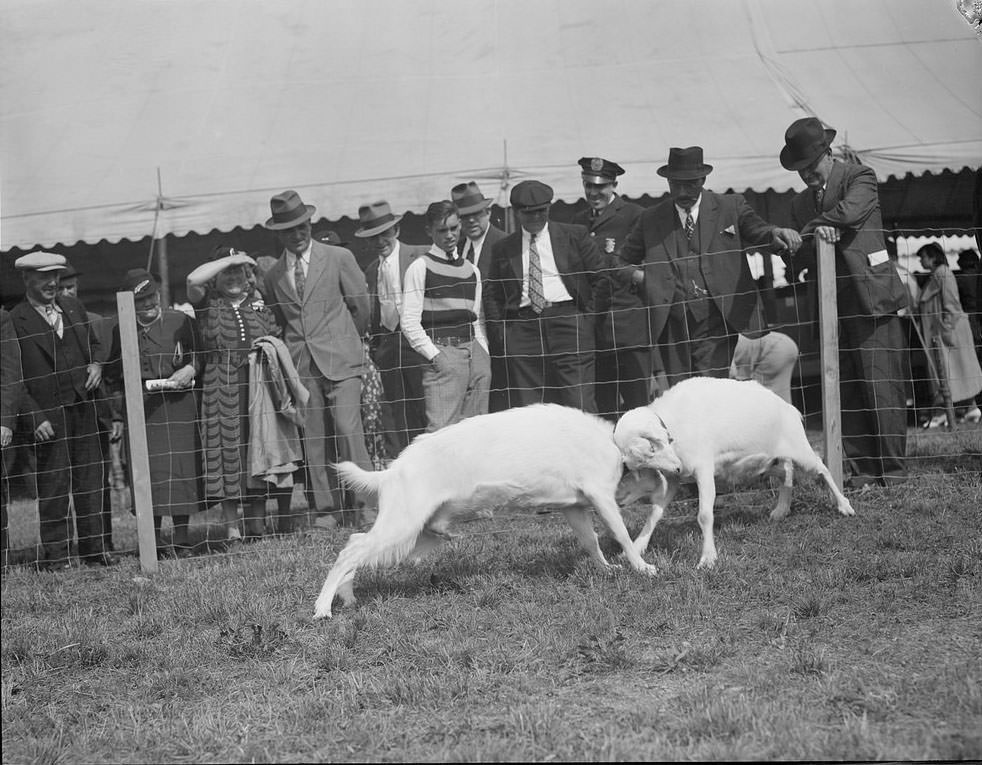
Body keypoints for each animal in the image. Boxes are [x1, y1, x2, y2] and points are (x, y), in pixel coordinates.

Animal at [312, 402, 656, 616]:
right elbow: (623, 535)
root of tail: (392, 471)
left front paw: (607, 569)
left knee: (355, 543)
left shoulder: (574, 507)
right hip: (403, 526)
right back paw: (322, 609)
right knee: (349, 552)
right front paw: (642, 568)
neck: (611, 442)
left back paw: (348, 598)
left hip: (421, 532)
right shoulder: (601, 496)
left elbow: (591, 541)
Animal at [616, 376, 852, 568]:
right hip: (768, 460)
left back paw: (844, 506)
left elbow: (704, 515)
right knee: (786, 471)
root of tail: (788, 407)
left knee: (822, 468)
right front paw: (635, 549)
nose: (616, 498)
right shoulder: (675, 477)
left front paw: (708, 559)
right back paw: (781, 510)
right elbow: (654, 514)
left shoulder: (703, 468)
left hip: (799, 447)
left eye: (647, 454)